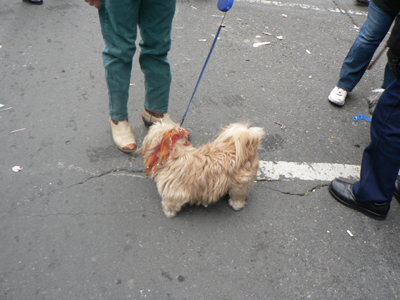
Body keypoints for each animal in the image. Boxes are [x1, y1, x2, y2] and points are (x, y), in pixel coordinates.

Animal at [138, 122, 266, 218]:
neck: (173, 153)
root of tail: (250, 147)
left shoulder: (174, 192)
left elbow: (170, 202)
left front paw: (169, 211)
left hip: (241, 184)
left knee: (239, 195)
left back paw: (236, 204)